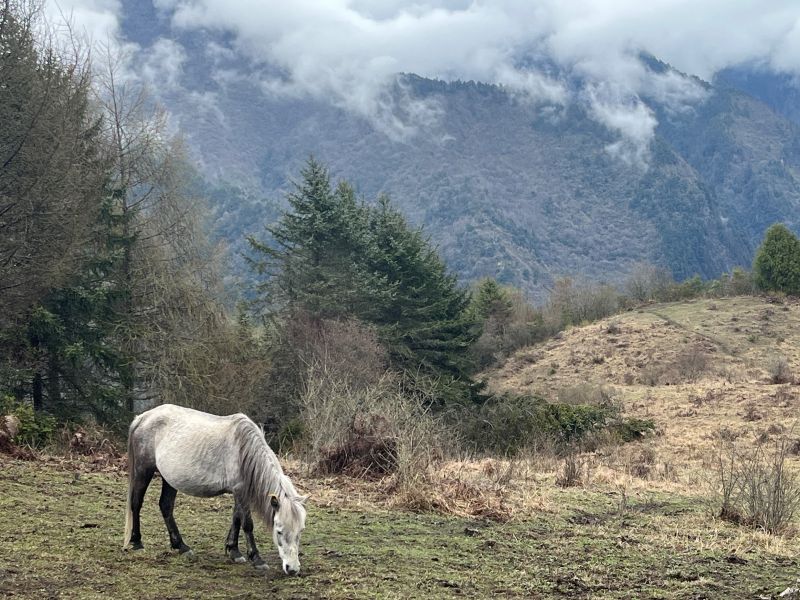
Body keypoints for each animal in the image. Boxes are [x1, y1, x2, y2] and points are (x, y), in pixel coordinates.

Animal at [122, 404, 307, 575]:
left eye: (299, 532)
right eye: (279, 531)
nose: (293, 569)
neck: (243, 449)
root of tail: (143, 417)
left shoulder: (239, 492)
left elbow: (236, 518)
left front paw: (234, 551)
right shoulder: (240, 491)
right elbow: (247, 523)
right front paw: (256, 558)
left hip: (169, 480)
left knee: (166, 506)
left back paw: (181, 546)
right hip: (143, 470)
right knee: (136, 503)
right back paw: (137, 542)